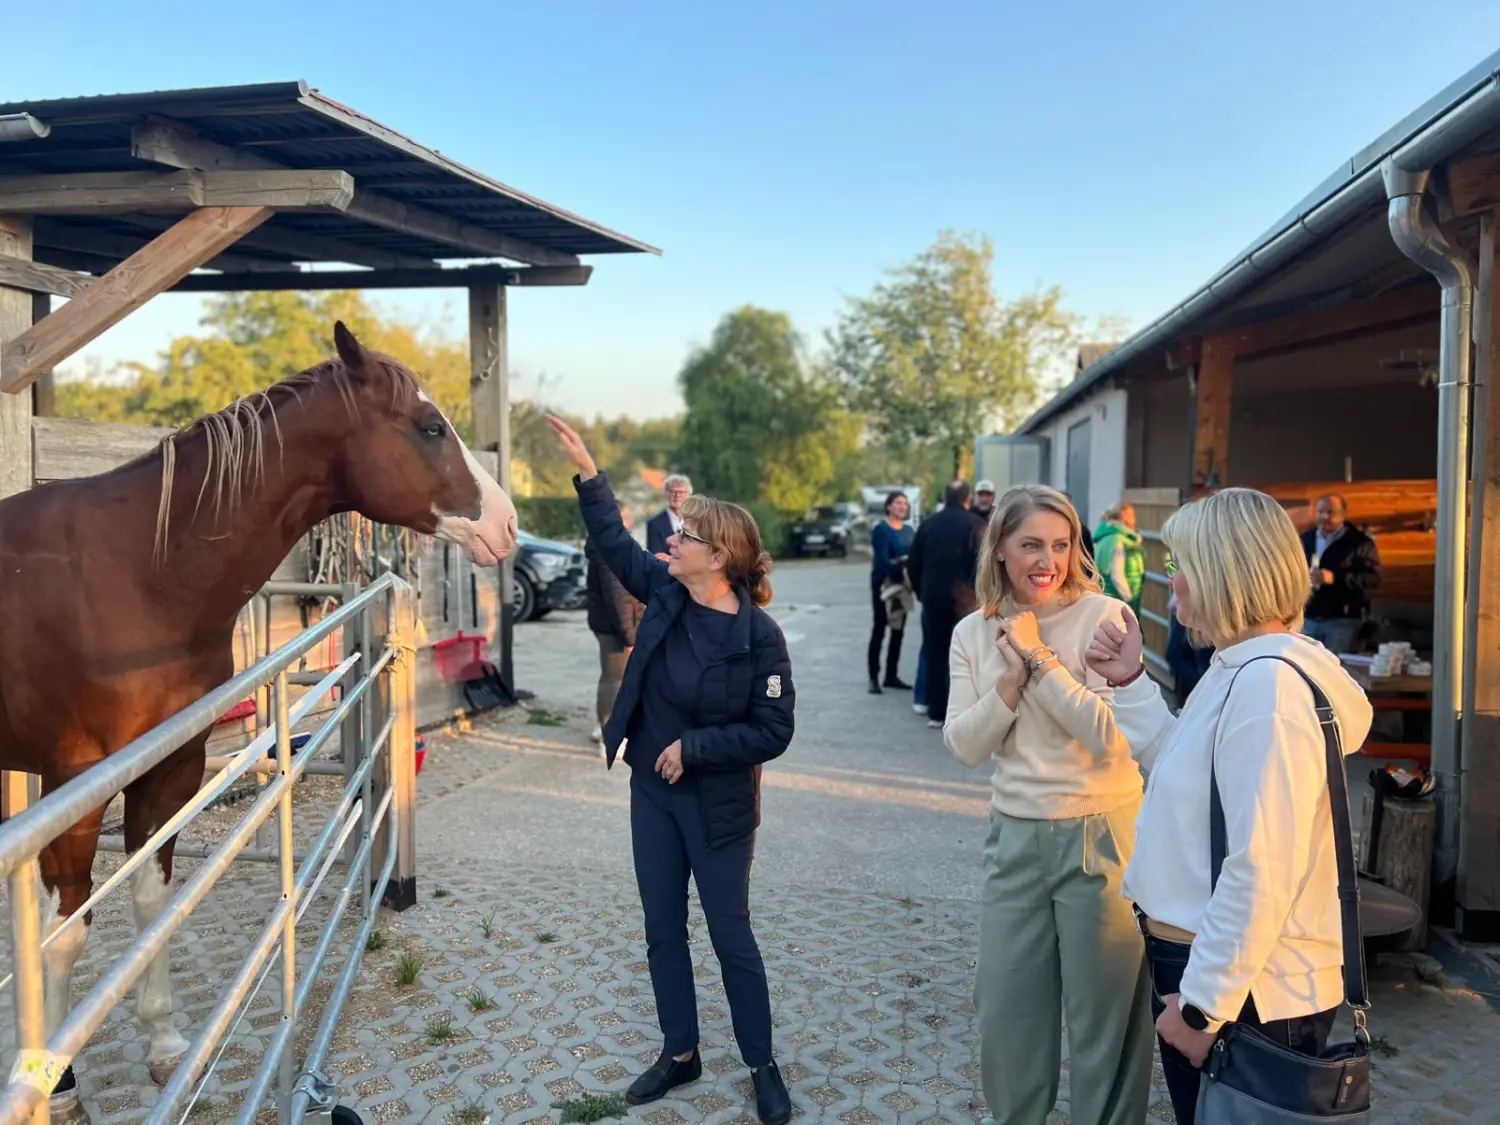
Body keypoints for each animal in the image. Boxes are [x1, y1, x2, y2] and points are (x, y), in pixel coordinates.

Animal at [0, 321, 522, 1122]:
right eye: (430, 427)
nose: (507, 522)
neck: (136, 570)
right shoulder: (73, 783)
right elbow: (63, 934)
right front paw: (52, 1082)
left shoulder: (170, 767)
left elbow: (153, 902)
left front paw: (165, 1045)